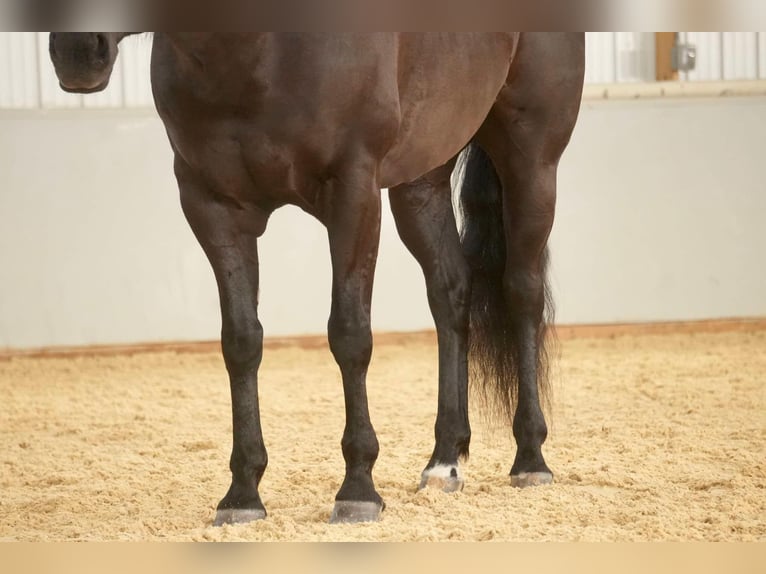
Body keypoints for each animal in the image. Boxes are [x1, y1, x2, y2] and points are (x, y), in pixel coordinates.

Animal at [48, 32, 584, 528]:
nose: (76, 51)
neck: (253, 54)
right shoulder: (211, 206)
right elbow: (240, 342)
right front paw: (242, 494)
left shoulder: (353, 193)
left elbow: (349, 335)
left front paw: (358, 489)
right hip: (422, 175)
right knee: (450, 291)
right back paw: (443, 463)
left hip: (531, 160)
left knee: (522, 291)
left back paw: (530, 459)